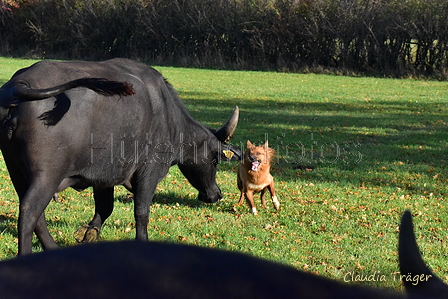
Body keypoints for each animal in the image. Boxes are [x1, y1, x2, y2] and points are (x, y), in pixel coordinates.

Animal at [0, 59, 242, 255]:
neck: (168, 117)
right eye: (214, 160)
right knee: (29, 212)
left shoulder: (104, 175)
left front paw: (89, 232)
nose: (216, 194)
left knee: (36, 215)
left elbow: (105, 206)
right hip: (47, 174)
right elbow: (141, 211)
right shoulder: (149, 171)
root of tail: (19, 84)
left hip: (16, 170)